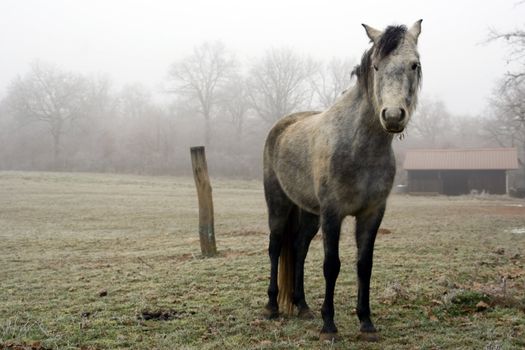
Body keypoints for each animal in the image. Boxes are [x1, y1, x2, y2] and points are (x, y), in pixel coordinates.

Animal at [262, 20, 422, 340]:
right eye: (376, 66)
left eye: (414, 64)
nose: (393, 116)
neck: (359, 146)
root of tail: (281, 126)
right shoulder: (333, 213)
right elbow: (331, 265)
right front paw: (329, 324)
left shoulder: (372, 213)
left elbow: (364, 265)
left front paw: (366, 322)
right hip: (279, 204)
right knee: (275, 247)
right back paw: (272, 306)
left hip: (309, 213)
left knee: (298, 248)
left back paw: (302, 306)